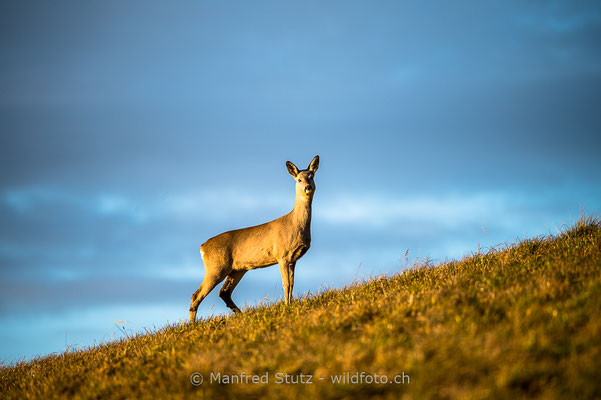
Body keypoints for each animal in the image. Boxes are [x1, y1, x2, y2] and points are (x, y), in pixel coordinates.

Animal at [189, 155, 318, 324]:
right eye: (298, 179)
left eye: (312, 176)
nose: (307, 187)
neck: (295, 224)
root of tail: (202, 247)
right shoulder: (282, 255)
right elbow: (286, 283)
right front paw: (287, 307)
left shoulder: (293, 258)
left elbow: (292, 284)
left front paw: (290, 304)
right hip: (216, 267)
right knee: (197, 295)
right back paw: (191, 325)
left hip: (237, 269)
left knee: (223, 292)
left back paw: (241, 314)